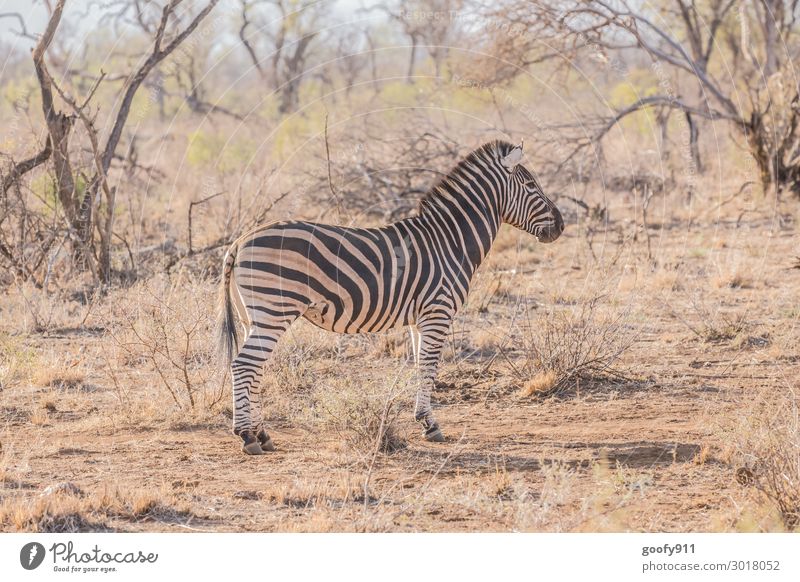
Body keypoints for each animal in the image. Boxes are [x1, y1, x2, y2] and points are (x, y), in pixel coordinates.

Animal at [217, 141, 564, 456]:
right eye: (531, 185)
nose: (561, 226)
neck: (450, 242)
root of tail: (240, 241)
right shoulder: (438, 311)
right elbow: (429, 366)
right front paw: (431, 425)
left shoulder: (421, 318)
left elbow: (420, 364)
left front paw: (423, 419)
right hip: (275, 310)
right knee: (244, 365)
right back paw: (246, 437)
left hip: (254, 316)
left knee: (254, 368)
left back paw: (262, 434)